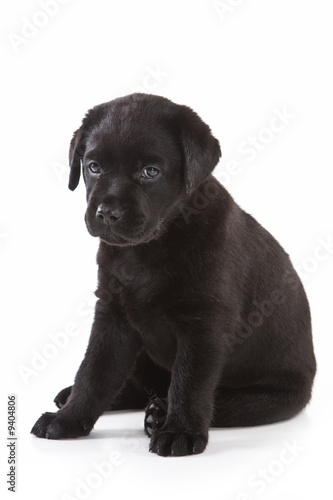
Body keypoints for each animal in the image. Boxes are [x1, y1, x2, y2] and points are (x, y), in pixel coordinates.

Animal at [32, 94, 316, 458]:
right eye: (93, 167)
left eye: (150, 172)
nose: (107, 213)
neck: (149, 248)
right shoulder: (112, 315)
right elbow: (95, 372)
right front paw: (68, 418)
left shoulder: (203, 326)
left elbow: (190, 382)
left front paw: (180, 431)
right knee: (136, 385)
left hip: (276, 396)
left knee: (224, 403)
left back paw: (160, 414)